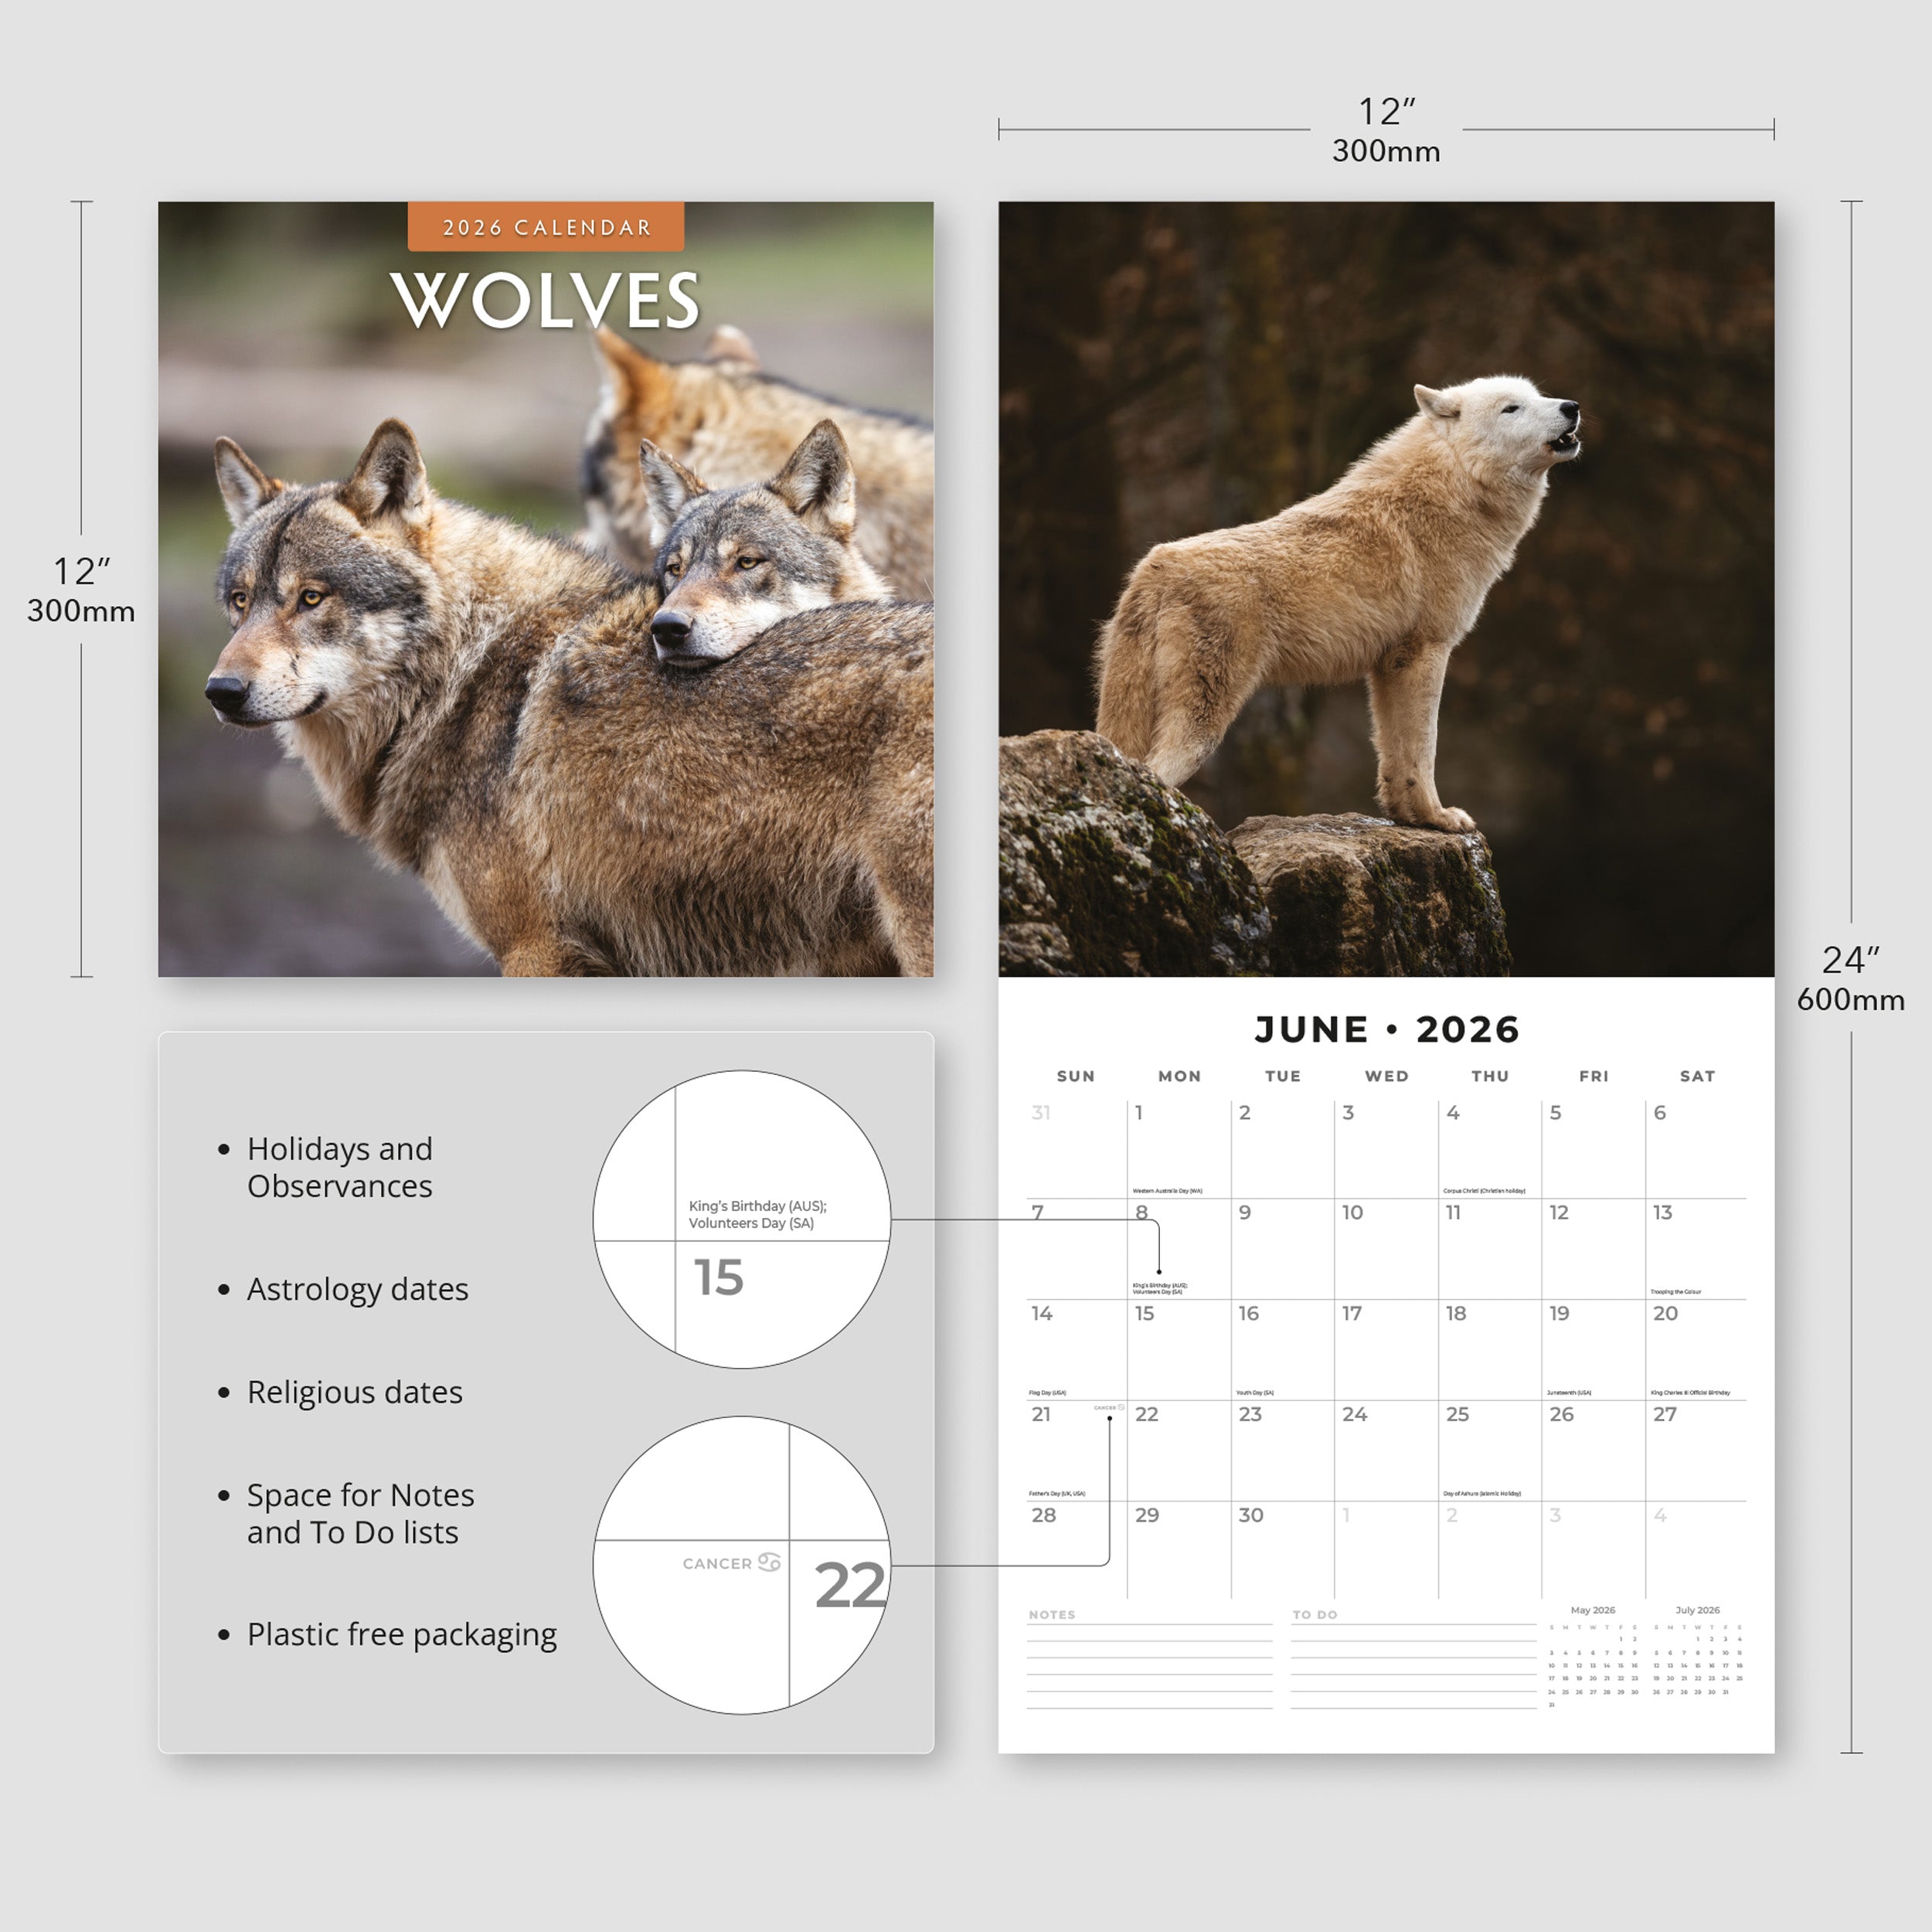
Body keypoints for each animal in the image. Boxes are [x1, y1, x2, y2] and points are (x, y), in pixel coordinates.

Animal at [1094, 376, 1582, 831]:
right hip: (1205, 724)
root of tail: (1154, 569)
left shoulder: (1389, 665)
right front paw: (1439, 818)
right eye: (1511, 408)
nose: (1573, 406)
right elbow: (1424, 749)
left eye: (1538, 396)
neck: (1454, 489)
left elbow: (1394, 757)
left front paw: (1410, 820)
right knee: (1157, 772)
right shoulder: (1427, 652)